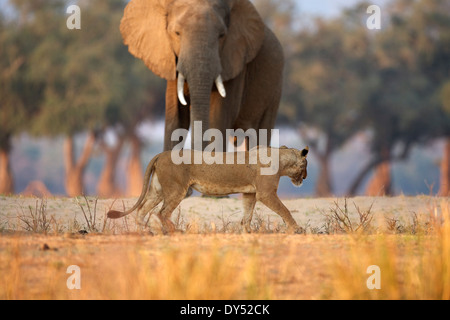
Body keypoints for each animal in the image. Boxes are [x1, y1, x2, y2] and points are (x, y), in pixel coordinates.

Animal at [119, 0, 284, 151]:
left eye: (222, 36)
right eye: (177, 33)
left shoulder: (235, 64)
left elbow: (217, 119)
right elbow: (176, 119)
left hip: (275, 88)